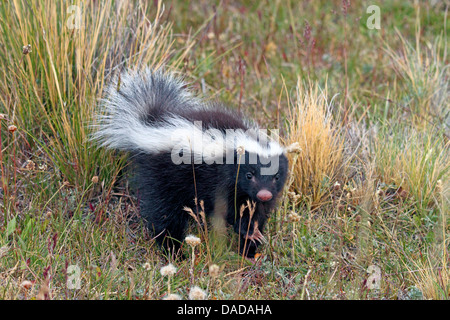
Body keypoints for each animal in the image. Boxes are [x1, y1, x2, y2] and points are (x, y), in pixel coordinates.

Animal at [94, 69, 288, 258]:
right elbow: (229, 209)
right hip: (164, 179)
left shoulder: (255, 196)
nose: (264, 194)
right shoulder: (220, 181)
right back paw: (173, 251)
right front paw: (248, 232)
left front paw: (250, 247)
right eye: (249, 175)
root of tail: (152, 124)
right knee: (165, 215)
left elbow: (257, 214)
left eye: (277, 177)